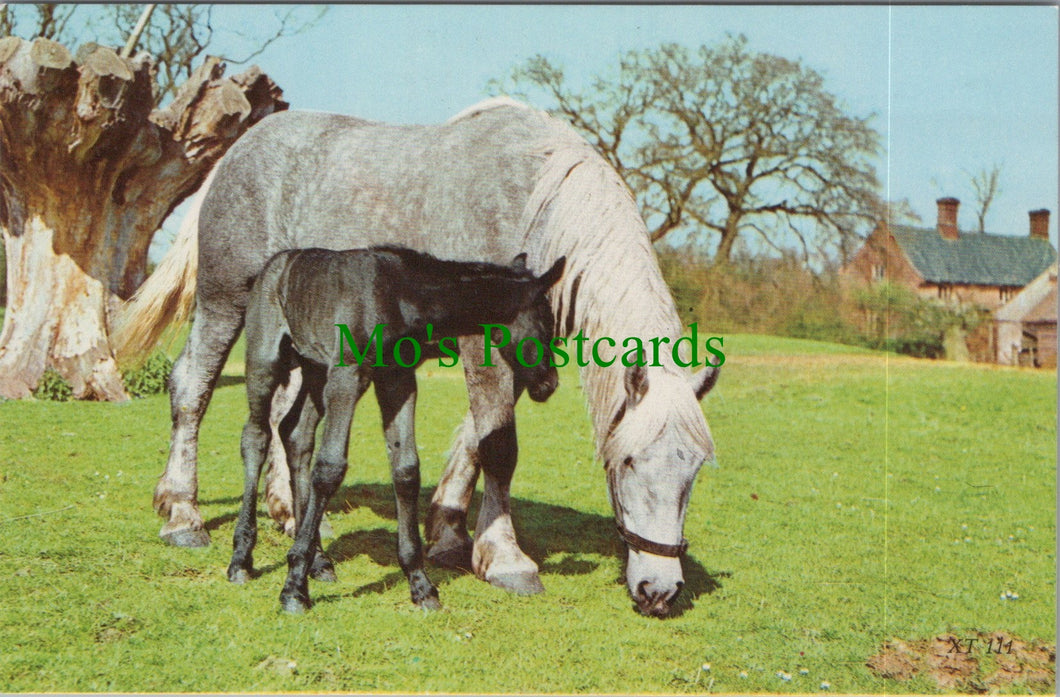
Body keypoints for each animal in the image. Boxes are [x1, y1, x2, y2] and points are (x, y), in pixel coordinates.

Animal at [227, 245, 564, 612]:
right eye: (547, 323)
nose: (549, 384)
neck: (398, 295)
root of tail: (272, 265)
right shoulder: (346, 377)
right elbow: (330, 468)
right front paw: (293, 589)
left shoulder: (398, 378)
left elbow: (405, 470)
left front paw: (421, 585)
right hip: (265, 361)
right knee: (256, 436)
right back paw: (242, 559)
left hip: (315, 369)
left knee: (295, 433)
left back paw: (319, 560)